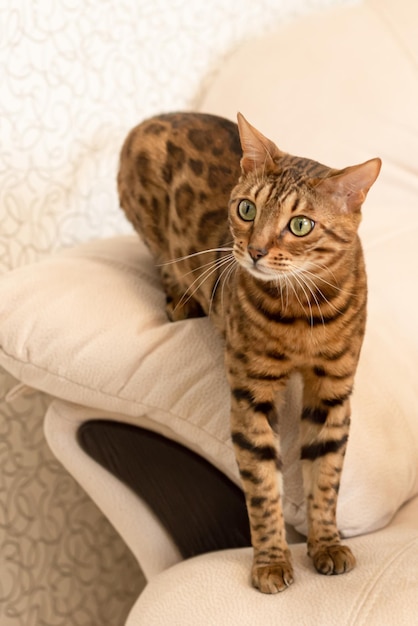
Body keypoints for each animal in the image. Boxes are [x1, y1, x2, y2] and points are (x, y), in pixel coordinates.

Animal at [117, 109, 382, 592]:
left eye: (300, 225)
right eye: (246, 209)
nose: (255, 251)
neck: (301, 314)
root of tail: (149, 120)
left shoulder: (334, 390)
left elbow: (326, 476)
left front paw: (327, 544)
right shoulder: (251, 392)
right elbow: (261, 485)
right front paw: (271, 561)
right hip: (152, 229)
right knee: (166, 265)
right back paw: (181, 302)